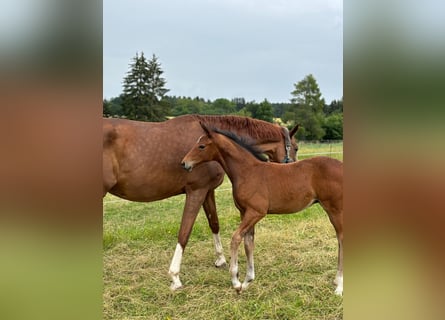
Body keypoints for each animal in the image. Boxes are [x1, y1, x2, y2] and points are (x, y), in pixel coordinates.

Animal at [103, 115, 298, 290]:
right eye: (295, 148)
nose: (294, 168)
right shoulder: (196, 191)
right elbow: (184, 232)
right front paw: (175, 277)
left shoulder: (207, 191)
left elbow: (214, 223)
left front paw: (220, 259)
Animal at [181, 124, 344, 296]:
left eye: (201, 146)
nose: (184, 163)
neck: (247, 171)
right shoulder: (245, 213)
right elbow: (248, 242)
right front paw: (247, 281)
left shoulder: (256, 212)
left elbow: (236, 238)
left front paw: (235, 282)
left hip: (335, 210)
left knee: (342, 239)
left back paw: (339, 286)